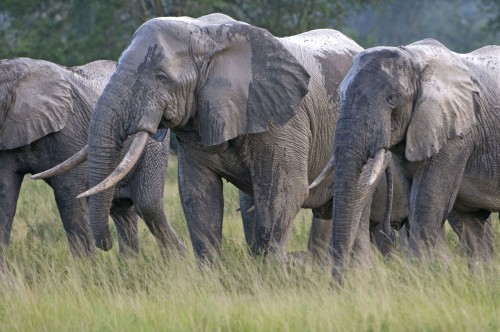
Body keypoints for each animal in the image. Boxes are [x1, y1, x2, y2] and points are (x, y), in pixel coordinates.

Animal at [0, 57, 186, 260]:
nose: (105, 246)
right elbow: (5, 194)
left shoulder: (69, 132)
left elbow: (69, 193)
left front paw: (85, 265)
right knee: (121, 210)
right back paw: (129, 264)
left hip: (153, 146)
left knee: (147, 205)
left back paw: (177, 259)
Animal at [322, 39, 498, 280]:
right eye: (340, 95)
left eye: (392, 99)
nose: (338, 285)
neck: (415, 58)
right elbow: (415, 201)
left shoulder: (455, 134)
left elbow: (426, 203)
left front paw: (421, 276)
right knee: (472, 221)